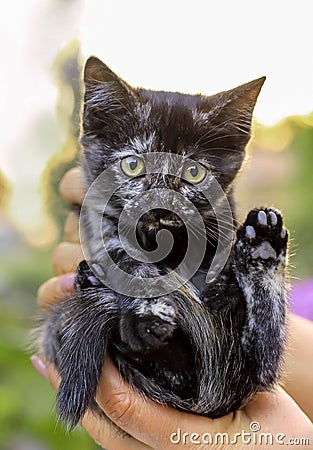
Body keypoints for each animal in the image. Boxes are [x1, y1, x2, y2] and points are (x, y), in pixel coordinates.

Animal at [34, 56, 288, 428]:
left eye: (194, 172)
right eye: (133, 165)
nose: (161, 202)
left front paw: (225, 283)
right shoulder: (95, 218)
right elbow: (125, 258)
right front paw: (146, 307)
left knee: (263, 361)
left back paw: (263, 250)